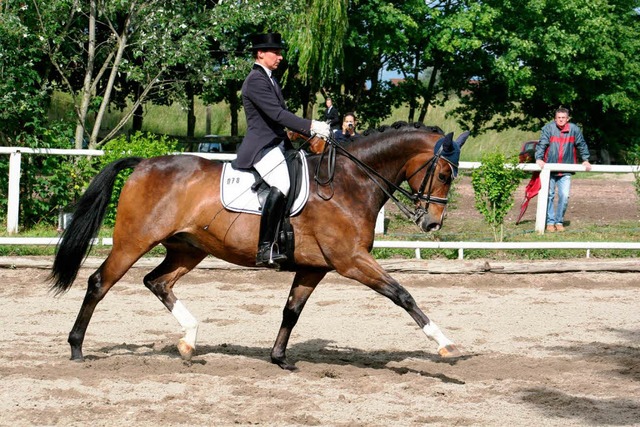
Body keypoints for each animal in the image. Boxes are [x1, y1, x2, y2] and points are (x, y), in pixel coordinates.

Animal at [50, 122, 468, 370]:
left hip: (189, 248)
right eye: (444, 173)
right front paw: (446, 345)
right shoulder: (350, 260)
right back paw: (76, 348)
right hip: (134, 241)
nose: (431, 223)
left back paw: (189, 341)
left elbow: (291, 311)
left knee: (158, 282)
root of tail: (143, 164)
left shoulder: (314, 267)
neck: (350, 182)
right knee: (99, 283)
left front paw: (279, 358)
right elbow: (402, 294)